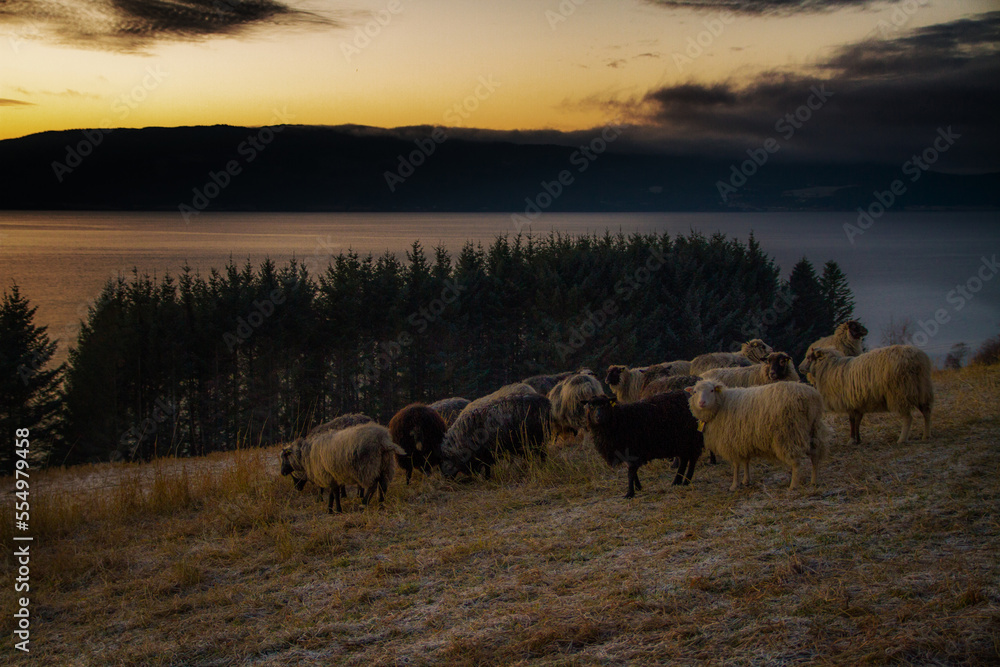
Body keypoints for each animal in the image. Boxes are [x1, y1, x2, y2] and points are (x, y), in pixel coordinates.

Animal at [684, 380, 832, 490]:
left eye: (711, 390)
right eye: (695, 392)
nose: (701, 403)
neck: (721, 405)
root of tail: (810, 396)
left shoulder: (731, 442)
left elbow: (736, 465)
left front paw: (734, 485)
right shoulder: (742, 441)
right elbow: (746, 462)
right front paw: (746, 480)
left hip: (788, 434)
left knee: (796, 462)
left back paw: (793, 485)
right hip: (814, 429)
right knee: (815, 457)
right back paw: (814, 480)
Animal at [792, 344, 932, 444]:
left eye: (809, 357)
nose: (799, 367)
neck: (830, 367)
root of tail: (916, 358)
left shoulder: (848, 402)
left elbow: (852, 421)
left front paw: (851, 440)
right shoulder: (858, 403)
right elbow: (858, 421)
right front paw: (858, 439)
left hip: (899, 393)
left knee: (908, 418)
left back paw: (902, 439)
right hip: (921, 390)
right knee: (926, 413)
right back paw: (926, 436)